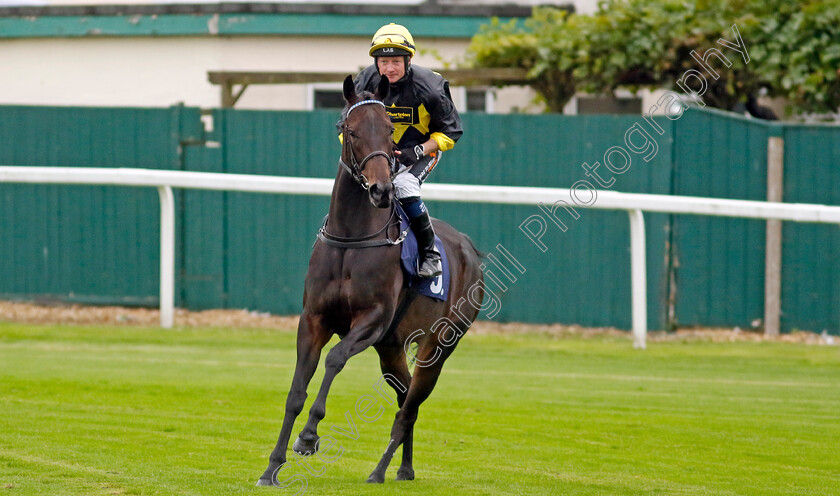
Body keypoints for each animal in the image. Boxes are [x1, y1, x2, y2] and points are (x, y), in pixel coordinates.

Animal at [254, 75, 486, 486]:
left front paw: (309, 436)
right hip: (392, 349)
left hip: (438, 346)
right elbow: (296, 390)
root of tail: (470, 250)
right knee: (405, 396)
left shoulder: (372, 320)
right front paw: (272, 467)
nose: (381, 190)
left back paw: (379, 470)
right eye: (352, 130)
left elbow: (335, 359)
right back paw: (404, 468)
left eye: (389, 132)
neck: (352, 237)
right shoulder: (314, 319)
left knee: (409, 407)